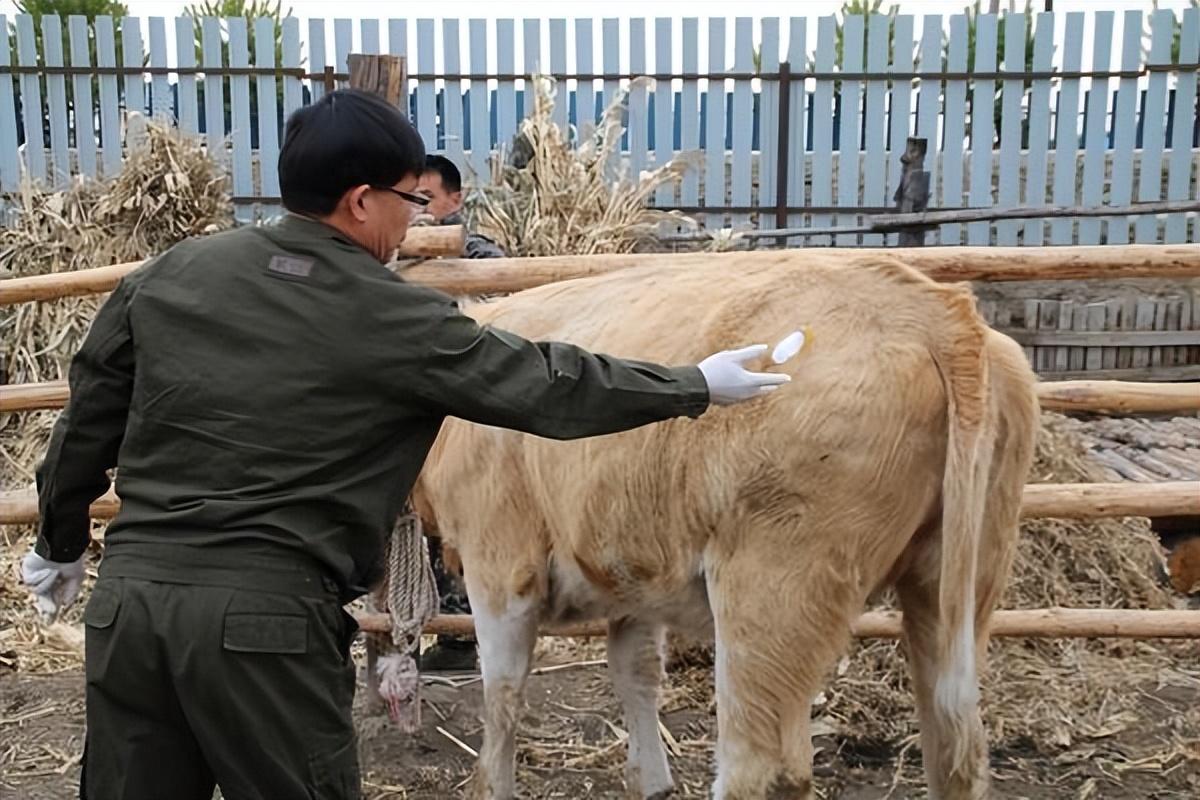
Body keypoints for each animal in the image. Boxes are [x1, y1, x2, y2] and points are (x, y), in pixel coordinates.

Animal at [408, 255, 1036, 800]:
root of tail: (932, 305)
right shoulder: (632, 576)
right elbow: (636, 673)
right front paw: (653, 783)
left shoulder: (500, 564)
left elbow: (503, 691)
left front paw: (491, 787)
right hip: (959, 582)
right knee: (955, 751)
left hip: (773, 589)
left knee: (765, 769)